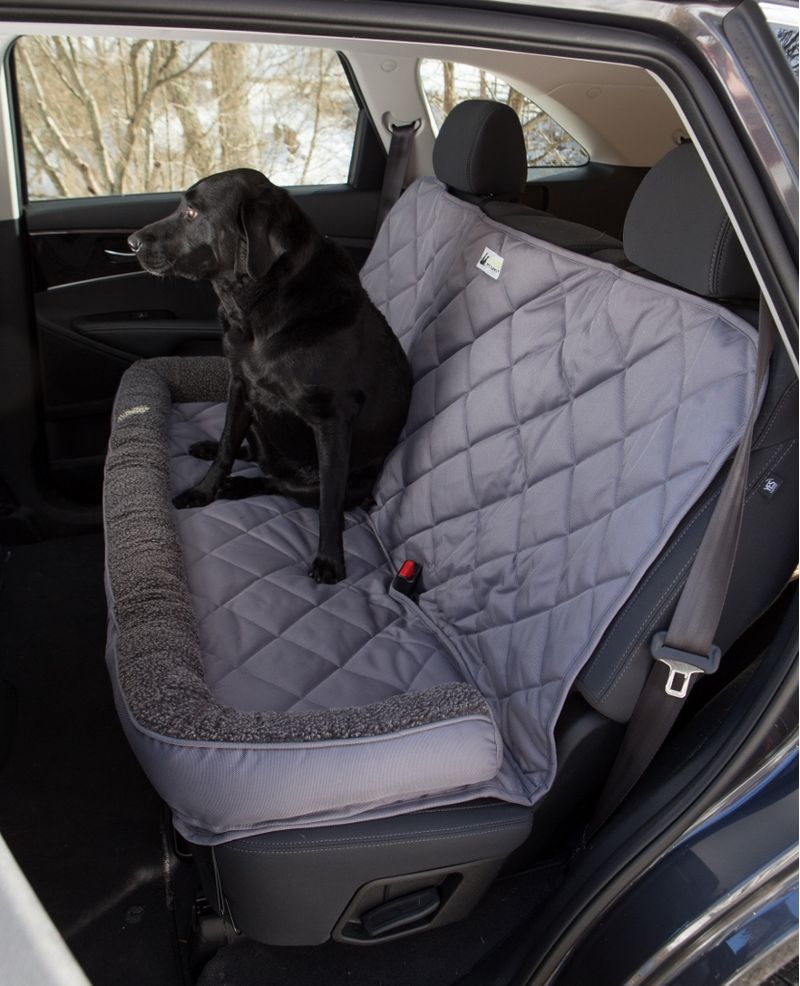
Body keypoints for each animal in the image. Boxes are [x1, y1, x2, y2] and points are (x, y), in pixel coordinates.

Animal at [129, 170, 412, 584]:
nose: (130, 241)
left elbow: (329, 502)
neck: (259, 306)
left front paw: (330, 559)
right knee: (253, 453)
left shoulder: (332, 421)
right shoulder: (240, 385)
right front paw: (204, 489)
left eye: (192, 212)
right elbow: (227, 446)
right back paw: (216, 457)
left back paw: (241, 485)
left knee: (285, 484)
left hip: (335, 477)